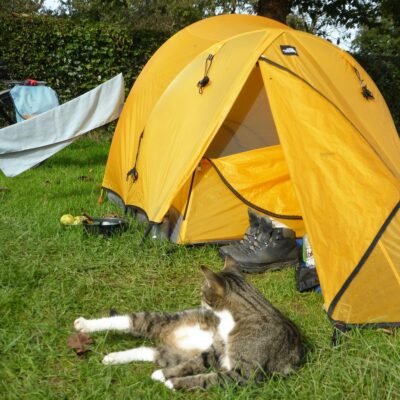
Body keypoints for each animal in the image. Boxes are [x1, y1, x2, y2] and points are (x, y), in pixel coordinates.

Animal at [72, 256, 304, 390]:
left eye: (202, 292)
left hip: (172, 351)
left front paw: (169, 380)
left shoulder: (245, 374)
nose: (200, 303)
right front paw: (167, 378)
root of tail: (170, 338)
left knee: (151, 352)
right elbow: (196, 367)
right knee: (130, 321)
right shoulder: (217, 353)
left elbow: (206, 377)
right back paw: (85, 325)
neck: (231, 320)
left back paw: (114, 357)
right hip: (164, 319)